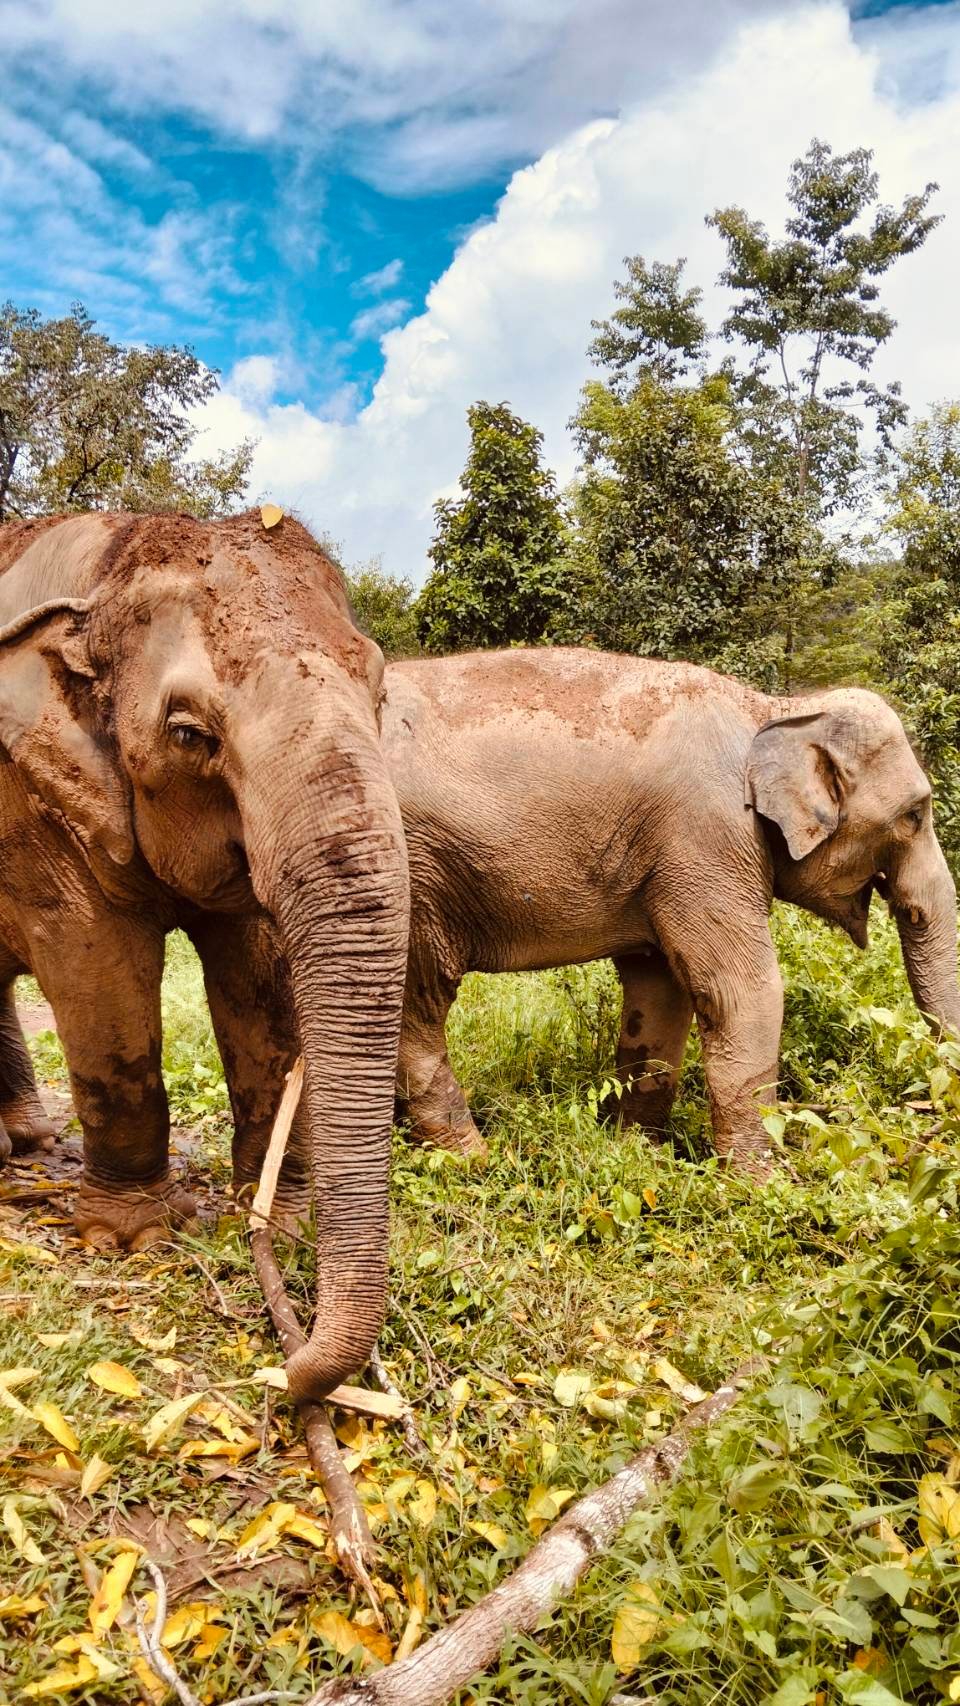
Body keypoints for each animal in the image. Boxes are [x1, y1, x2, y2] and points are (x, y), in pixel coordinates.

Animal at [0, 510, 409, 1404]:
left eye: (379, 695)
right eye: (189, 735)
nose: (286, 1366)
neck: (106, 569)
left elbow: (257, 969)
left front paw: (279, 1220)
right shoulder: (33, 808)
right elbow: (97, 968)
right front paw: (131, 1240)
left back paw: (28, 1148)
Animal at [380, 647, 959, 1172]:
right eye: (914, 815)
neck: (773, 708)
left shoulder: (669, 860)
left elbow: (660, 993)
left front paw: (638, 1153)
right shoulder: (706, 838)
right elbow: (740, 990)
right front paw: (760, 1182)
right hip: (411, 878)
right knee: (418, 1005)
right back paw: (472, 1160)